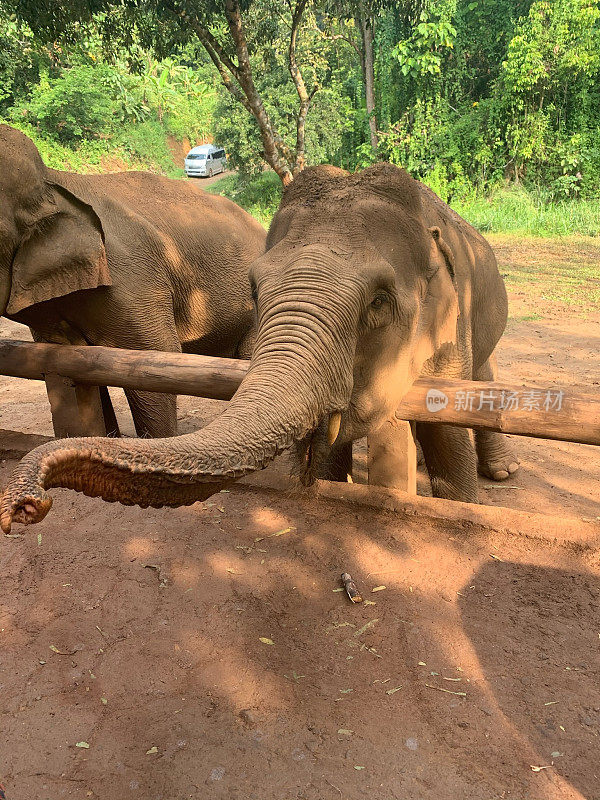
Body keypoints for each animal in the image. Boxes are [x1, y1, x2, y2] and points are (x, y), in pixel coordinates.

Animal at [0, 160, 516, 532]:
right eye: (253, 286)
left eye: (379, 301)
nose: (25, 506)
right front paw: (329, 479)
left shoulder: (451, 324)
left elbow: (446, 429)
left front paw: (462, 500)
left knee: (484, 374)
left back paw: (502, 471)